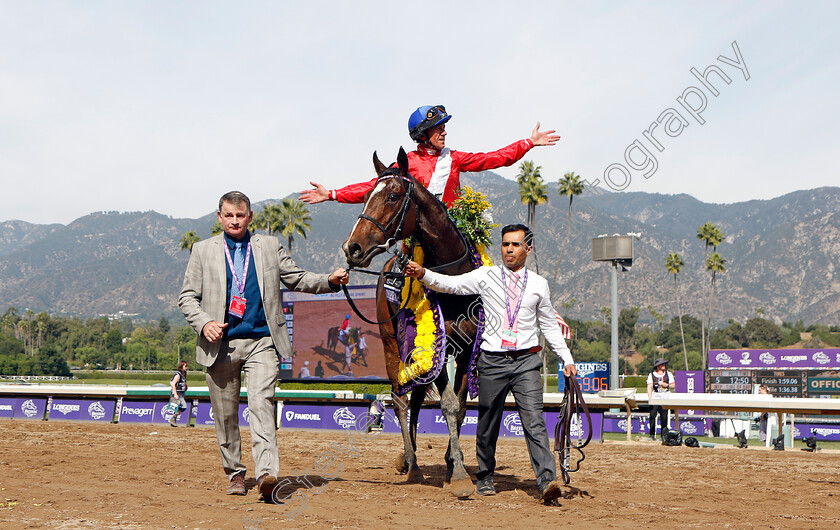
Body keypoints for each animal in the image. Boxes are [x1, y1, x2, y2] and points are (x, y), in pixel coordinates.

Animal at [338, 147, 476, 496]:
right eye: (365, 196)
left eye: (393, 196)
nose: (352, 247)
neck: (453, 282)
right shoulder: (438, 350)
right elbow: (448, 405)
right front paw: (459, 476)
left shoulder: (465, 350)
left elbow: (462, 406)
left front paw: (453, 462)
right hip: (392, 343)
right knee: (400, 399)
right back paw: (411, 464)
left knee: (413, 399)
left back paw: (410, 457)